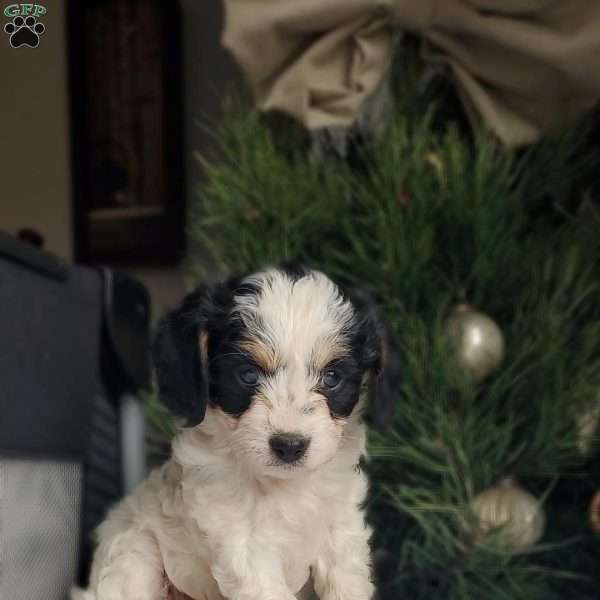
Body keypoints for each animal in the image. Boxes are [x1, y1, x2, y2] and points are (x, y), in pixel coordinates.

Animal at [77, 264, 400, 600]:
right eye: (247, 375)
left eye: (332, 378)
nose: (290, 445)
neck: (284, 486)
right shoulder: (244, 543)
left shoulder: (340, 525)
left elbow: (346, 580)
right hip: (134, 557)